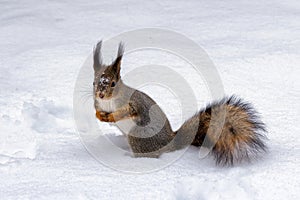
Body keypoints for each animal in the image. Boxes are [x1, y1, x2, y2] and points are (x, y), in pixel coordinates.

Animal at [92, 40, 268, 166]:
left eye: (113, 83)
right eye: (94, 82)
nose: (100, 94)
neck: (108, 102)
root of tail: (171, 143)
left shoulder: (132, 103)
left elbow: (128, 112)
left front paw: (112, 117)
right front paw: (100, 116)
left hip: (139, 136)